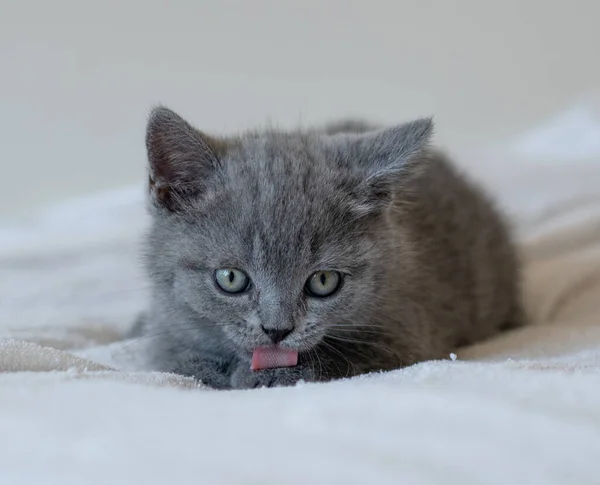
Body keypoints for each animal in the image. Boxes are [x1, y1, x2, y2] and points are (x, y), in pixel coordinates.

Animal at [136, 107, 524, 390]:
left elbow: (344, 359)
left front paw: (268, 375)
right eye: (230, 278)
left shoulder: (409, 334)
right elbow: (177, 357)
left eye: (323, 281)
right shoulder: (165, 328)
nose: (277, 331)